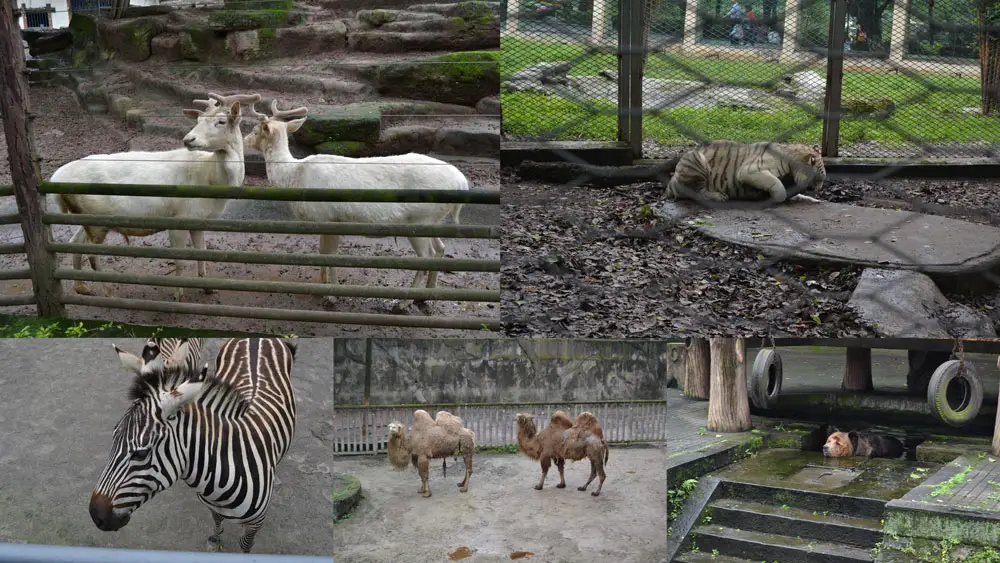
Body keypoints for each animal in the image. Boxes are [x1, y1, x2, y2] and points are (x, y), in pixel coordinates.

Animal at [48, 93, 260, 300]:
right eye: (198, 119)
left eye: (221, 121)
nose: (188, 139)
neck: (211, 180)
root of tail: (55, 179)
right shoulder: (179, 217)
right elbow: (180, 259)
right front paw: (179, 294)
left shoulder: (200, 220)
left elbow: (202, 252)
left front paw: (208, 288)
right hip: (96, 220)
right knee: (93, 254)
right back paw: (108, 291)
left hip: (86, 217)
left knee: (75, 242)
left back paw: (82, 287)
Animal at [91, 338, 296, 552]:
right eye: (114, 436)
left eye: (141, 454)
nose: (95, 517)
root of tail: (258, 338)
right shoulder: (212, 506)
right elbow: (217, 520)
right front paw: (215, 539)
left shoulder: (256, 523)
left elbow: (246, 543)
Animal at [248, 101, 470, 312]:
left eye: (255, 130)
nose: (246, 140)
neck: (295, 176)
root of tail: (462, 182)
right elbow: (322, 252)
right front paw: (321, 287)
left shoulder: (328, 218)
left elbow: (330, 256)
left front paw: (331, 296)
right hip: (434, 220)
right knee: (440, 248)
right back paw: (426, 295)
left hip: (419, 219)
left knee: (426, 256)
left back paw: (403, 303)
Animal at [664, 141, 828, 205]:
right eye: (818, 180)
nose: (818, 189)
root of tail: (670, 184)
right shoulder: (750, 171)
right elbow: (778, 186)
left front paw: (812, 199)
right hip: (696, 158)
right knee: (697, 192)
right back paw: (718, 196)